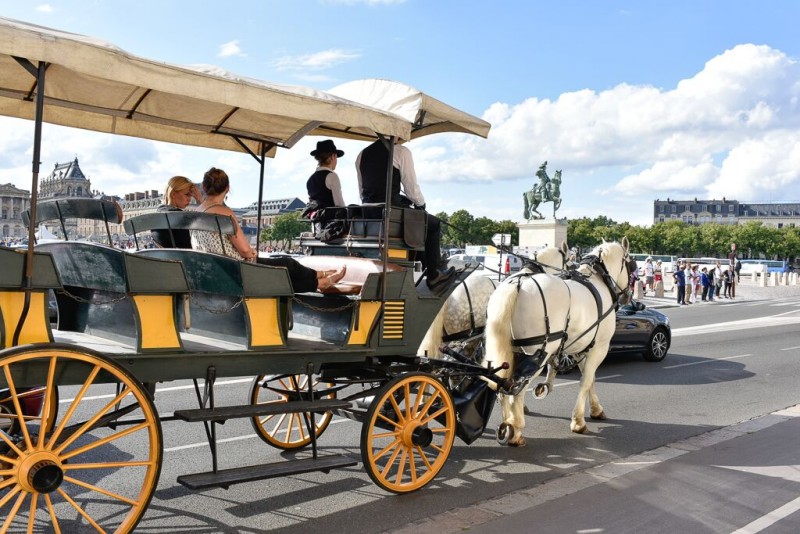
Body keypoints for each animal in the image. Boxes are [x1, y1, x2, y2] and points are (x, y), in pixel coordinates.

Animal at [482, 241, 632, 446]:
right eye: (631, 264)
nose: (628, 295)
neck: (599, 280)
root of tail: (518, 285)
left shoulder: (582, 348)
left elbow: (590, 379)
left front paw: (596, 409)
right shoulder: (599, 347)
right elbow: (586, 381)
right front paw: (578, 421)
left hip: (509, 352)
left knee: (503, 384)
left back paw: (507, 424)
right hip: (536, 354)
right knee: (516, 389)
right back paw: (516, 430)